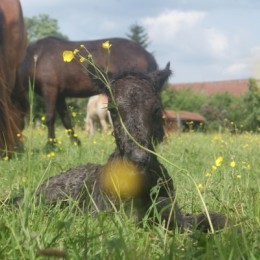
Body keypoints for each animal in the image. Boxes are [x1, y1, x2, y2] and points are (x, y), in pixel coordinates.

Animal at [18, 35, 157, 147]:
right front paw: (76, 143)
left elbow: (50, 118)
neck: (37, 57)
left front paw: (50, 145)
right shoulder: (59, 95)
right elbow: (66, 120)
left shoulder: (50, 90)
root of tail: (146, 54)